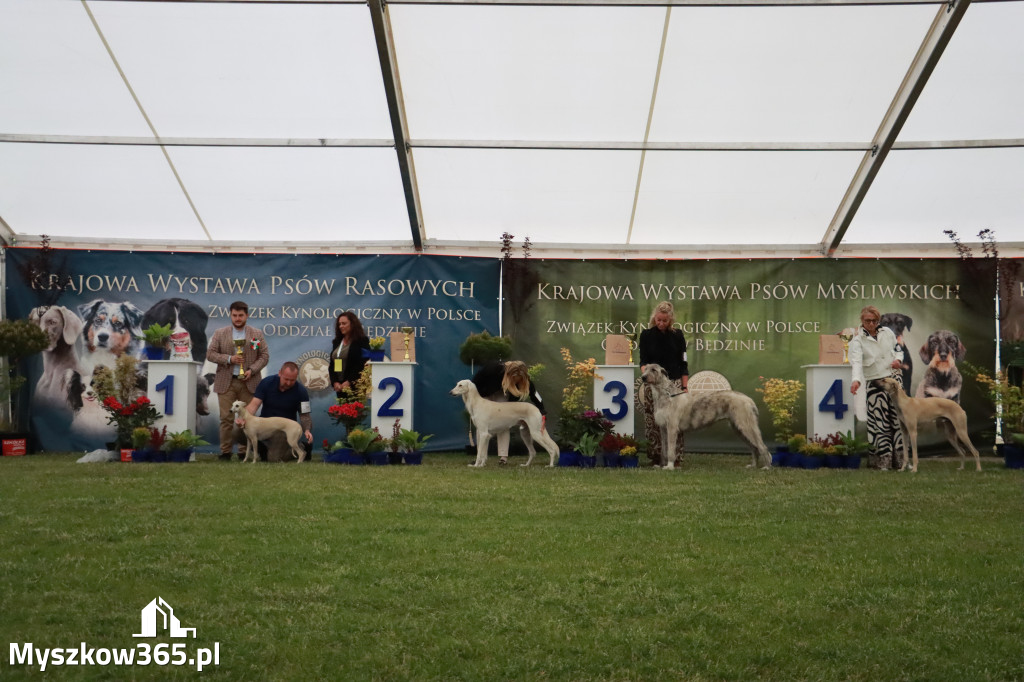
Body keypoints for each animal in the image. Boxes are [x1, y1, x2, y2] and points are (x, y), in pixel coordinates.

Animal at [638, 360, 770, 466]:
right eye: (646, 369)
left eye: (654, 370)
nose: (643, 377)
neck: (666, 395)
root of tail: (748, 399)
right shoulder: (663, 428)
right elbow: (664, 450)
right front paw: (662, 465)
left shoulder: (672, 427)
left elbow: (670, 450)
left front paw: (669, 466)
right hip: (738, 428)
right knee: (754, 448)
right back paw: (753, 466)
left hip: (746, 426)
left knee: (762, 447)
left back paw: (766, 467)